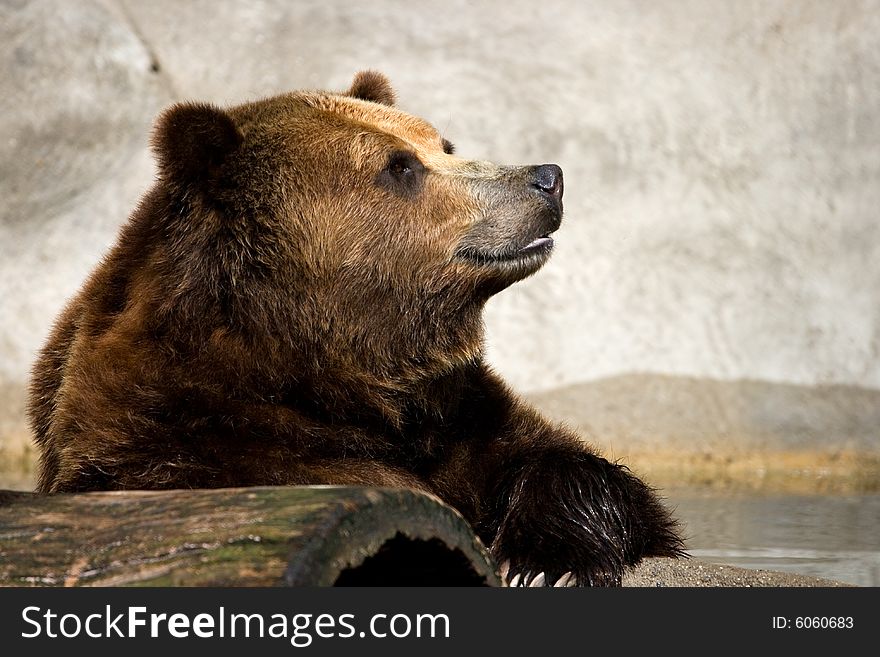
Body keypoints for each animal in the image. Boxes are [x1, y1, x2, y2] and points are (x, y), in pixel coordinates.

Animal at [27, 72, 684, 584]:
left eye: (443, 143)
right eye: (400, 167)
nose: (546, 179)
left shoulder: (458, 416)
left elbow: (575, 470)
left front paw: (548, 562)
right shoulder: (177, 440)